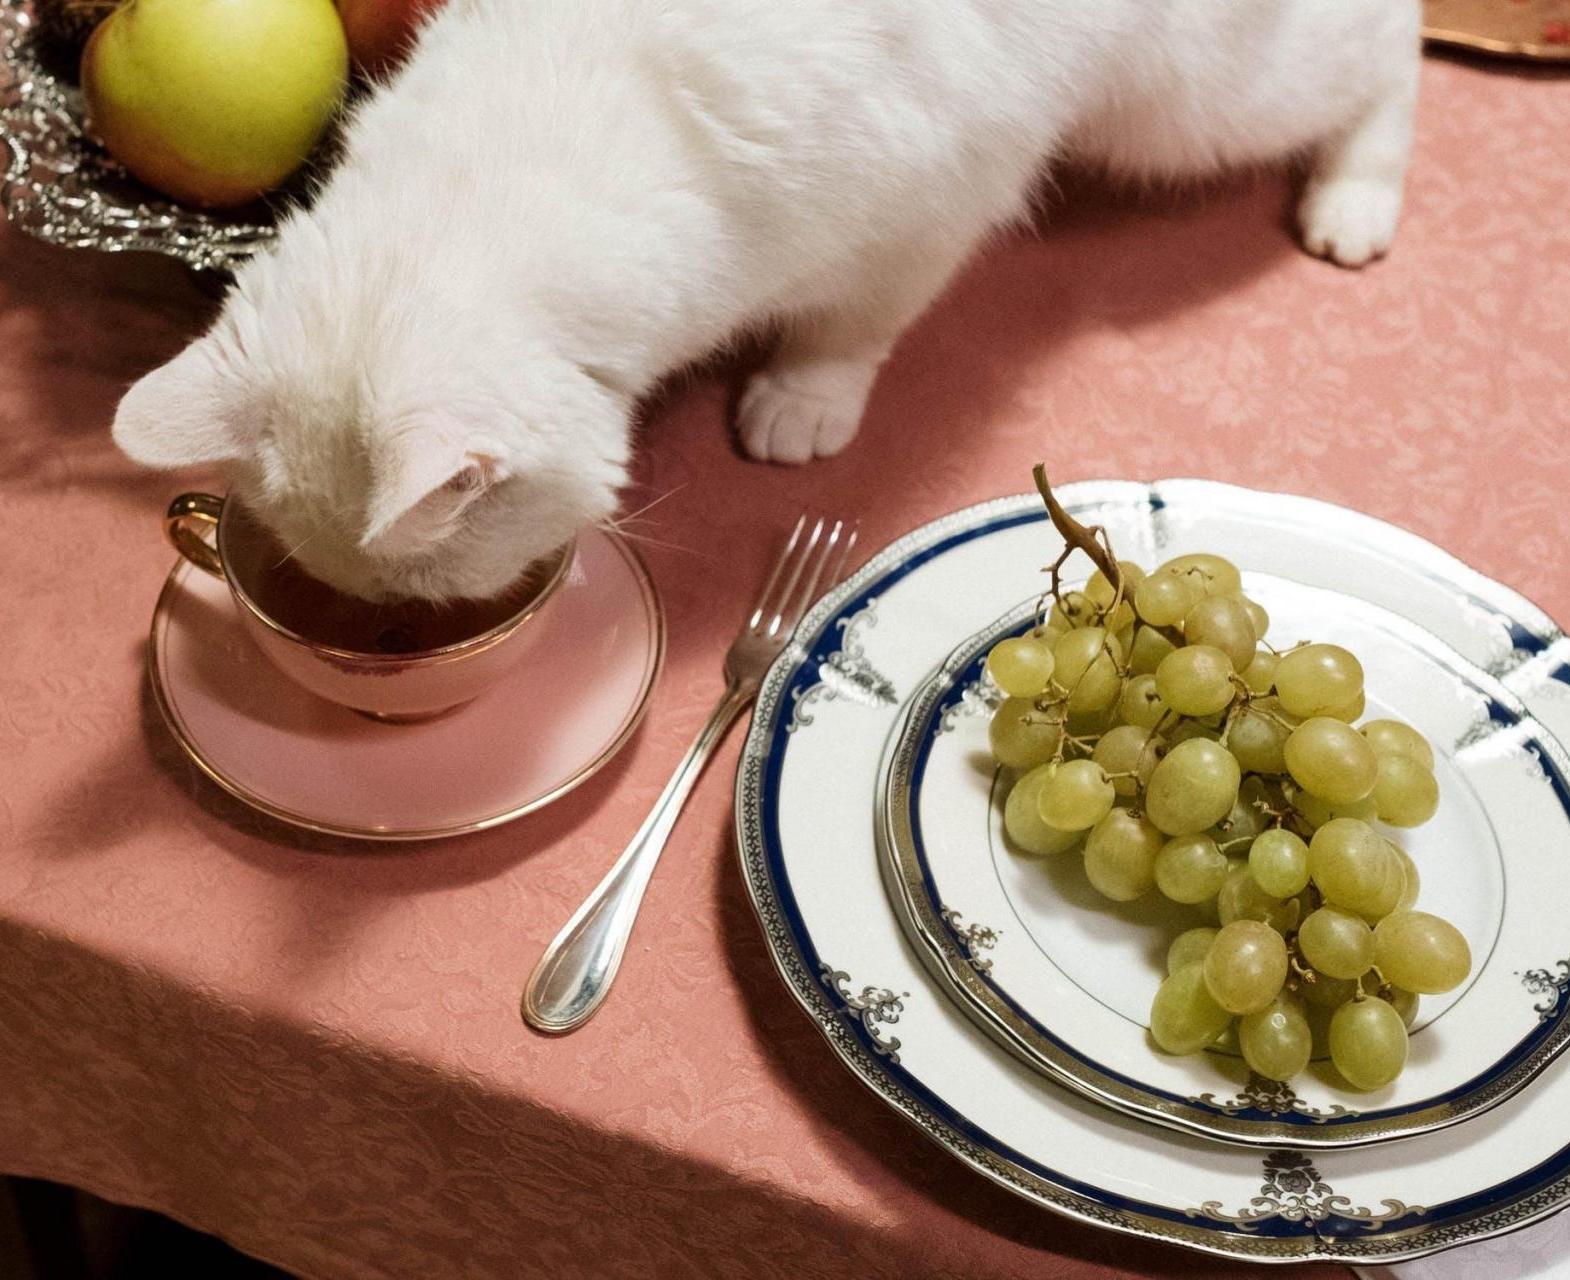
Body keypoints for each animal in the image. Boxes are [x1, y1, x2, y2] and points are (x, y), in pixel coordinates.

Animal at [112, 0, 1421, 603]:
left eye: (428, 590)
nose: (398, 630)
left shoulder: (933, 208)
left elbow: (854, 328)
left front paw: (803, 402)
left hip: (1195, 102)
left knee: (1389, 50)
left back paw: (1353, 201)